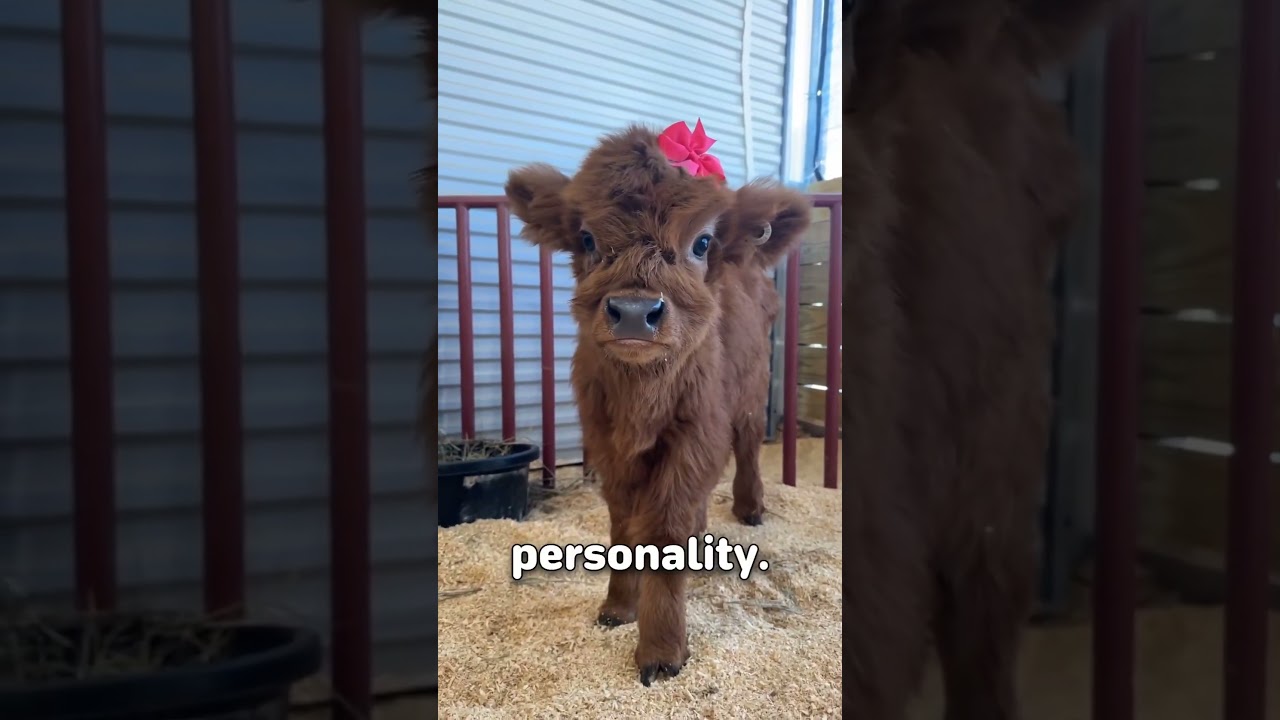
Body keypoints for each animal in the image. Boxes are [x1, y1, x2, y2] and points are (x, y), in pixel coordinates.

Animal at [504, 122, 813, 686]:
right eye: (587, 238)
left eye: (702, 241)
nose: (633, 311)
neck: (640, 397)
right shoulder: (606, 441)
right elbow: (624, 524)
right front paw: (617, 607)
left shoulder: (696, 430)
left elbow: (665, 525)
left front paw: (662, 648)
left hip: (750, 392)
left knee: (748, 448)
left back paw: (750, 507)